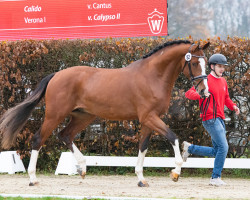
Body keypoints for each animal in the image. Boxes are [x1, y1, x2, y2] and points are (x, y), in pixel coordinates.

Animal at [0, 39, 210, 187]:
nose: (204, 92)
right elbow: (173, 137)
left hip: (84, 116)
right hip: (55, 115)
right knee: (38, 139)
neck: (153, 76)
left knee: (65, 135)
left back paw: (82, 167)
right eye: (194, 64)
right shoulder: (150, 117)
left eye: (206, 63)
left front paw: (141, 179)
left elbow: (143, 147)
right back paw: (33, 179)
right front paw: (175, 172)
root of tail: (56, 75)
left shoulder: (148, 120)